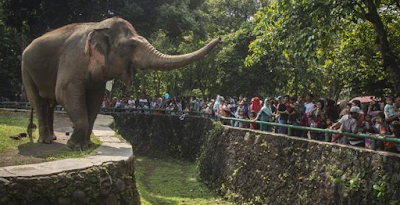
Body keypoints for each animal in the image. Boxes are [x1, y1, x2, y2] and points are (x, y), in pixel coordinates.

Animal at [21, 16, 222, 150]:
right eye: (132, 45)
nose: (220, 38)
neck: (97, 26)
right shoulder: (72, 60)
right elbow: (64, 93)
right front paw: (75, 147)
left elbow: (95, 100)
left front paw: (87, 144)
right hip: (25, 69)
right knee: (40, 103)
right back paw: (46, 140)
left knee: (49, 104)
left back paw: (52, 138)